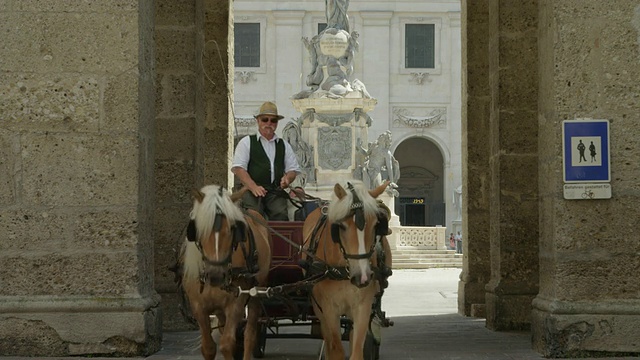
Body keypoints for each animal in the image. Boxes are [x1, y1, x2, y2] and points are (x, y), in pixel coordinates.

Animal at [178, 186, 272, 360]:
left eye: (232, 229)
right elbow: (208, 347)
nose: (216, 275)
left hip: (257, 292)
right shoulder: (198, 306)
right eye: (200, 229)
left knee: (250, 335)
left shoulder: (236, 303)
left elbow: (227, 344)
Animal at [302, 181, 392, 358]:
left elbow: (357, 351)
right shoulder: (329, 310)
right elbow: (335, 348)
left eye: (376, 225)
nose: (362, 277)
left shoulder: (362, 307)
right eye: (341, 226)